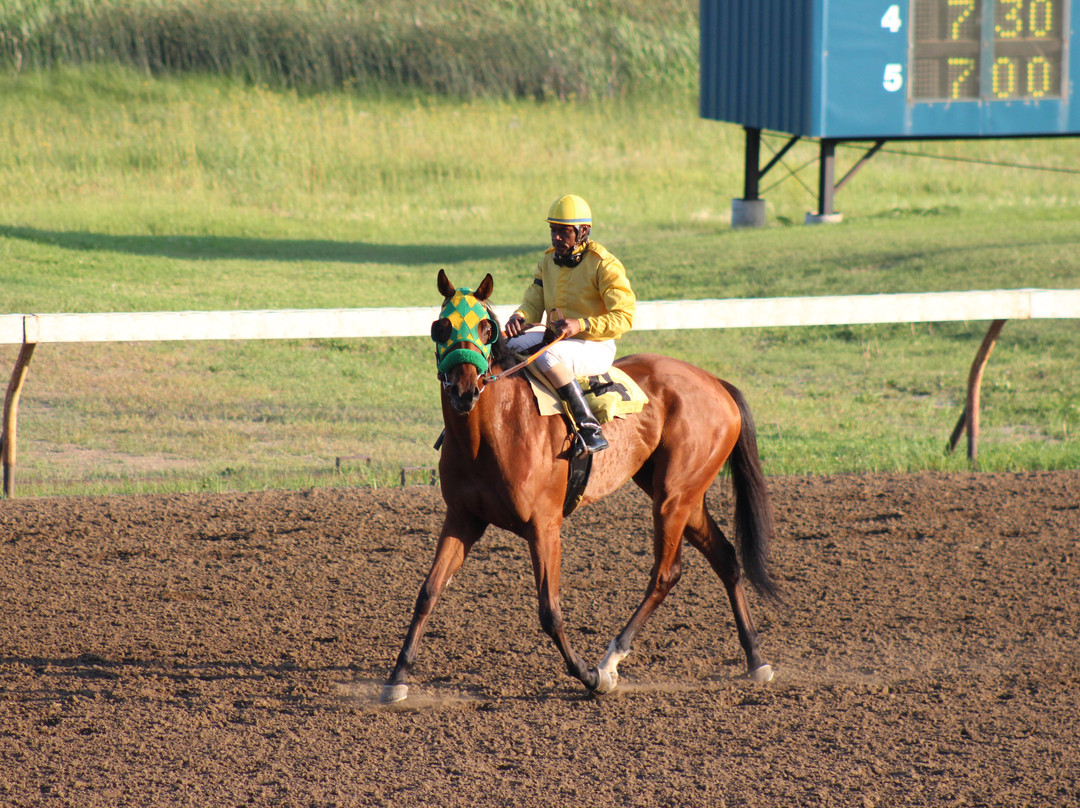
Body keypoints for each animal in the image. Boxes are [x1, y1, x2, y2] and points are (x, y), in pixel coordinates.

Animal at [380, 270, 777, 699]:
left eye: (486, 328)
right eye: (441, 327)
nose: (464, 389)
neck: (492, 433)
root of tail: (715, 382)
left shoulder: (544, 526)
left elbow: (549, 611)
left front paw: (588, 675)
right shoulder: (462, 518)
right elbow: (428, 593)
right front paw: (397, 677)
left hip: (672, 498)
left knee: (665, 574)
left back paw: (610, 660)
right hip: (682, 493)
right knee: (725, 557)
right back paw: (756, 658)